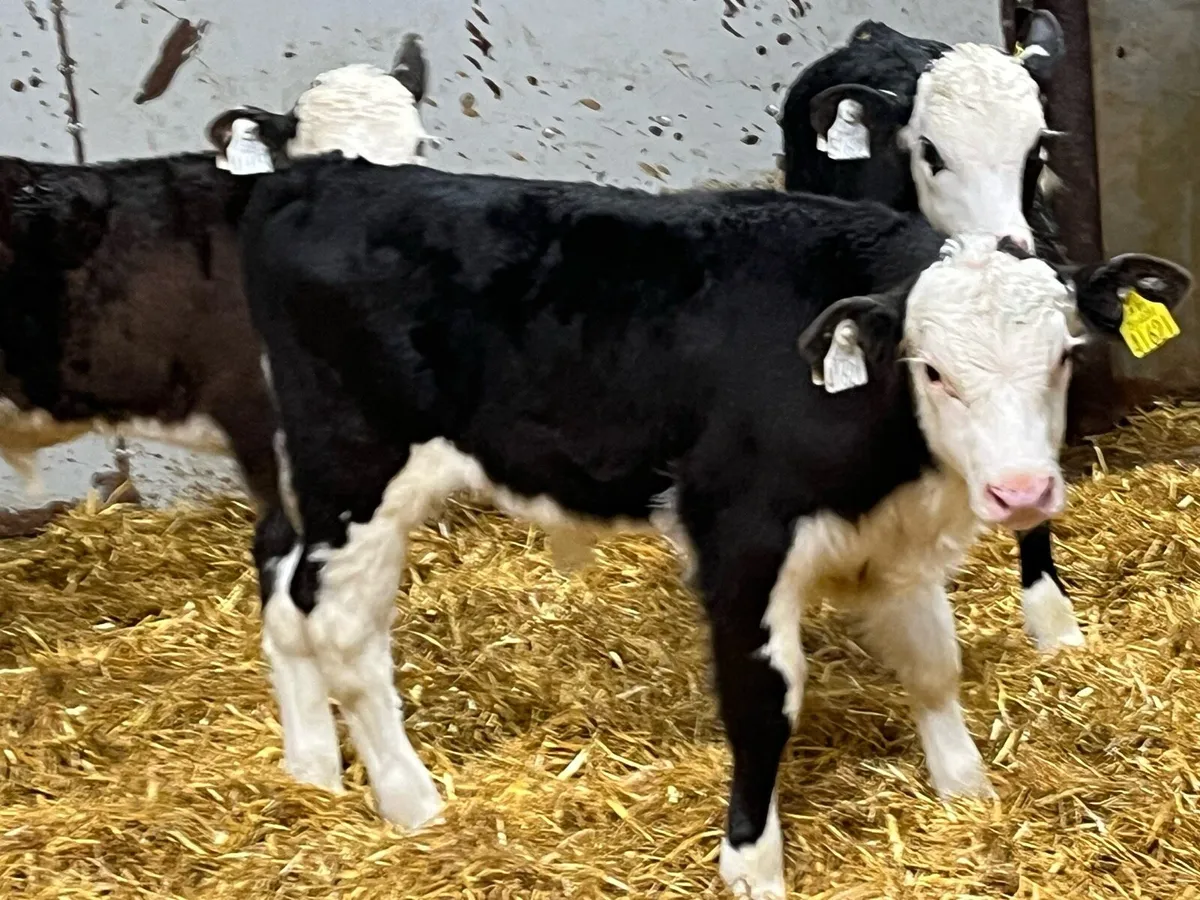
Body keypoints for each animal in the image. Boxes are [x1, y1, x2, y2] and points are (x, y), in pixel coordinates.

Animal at [237, 157, 1192, 898]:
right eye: (933, 370)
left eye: (1065, 355)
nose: (1022, 490)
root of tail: (321, 178)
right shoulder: (740, 540)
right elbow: (762, 704)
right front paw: (752, 864)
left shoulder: (896, 544)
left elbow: (933, 667)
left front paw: (965, 793)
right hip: (356, 475)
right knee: (344, 632)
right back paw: (412, 802)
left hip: (299, 480)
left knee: (283, 590)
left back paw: (311, 771)